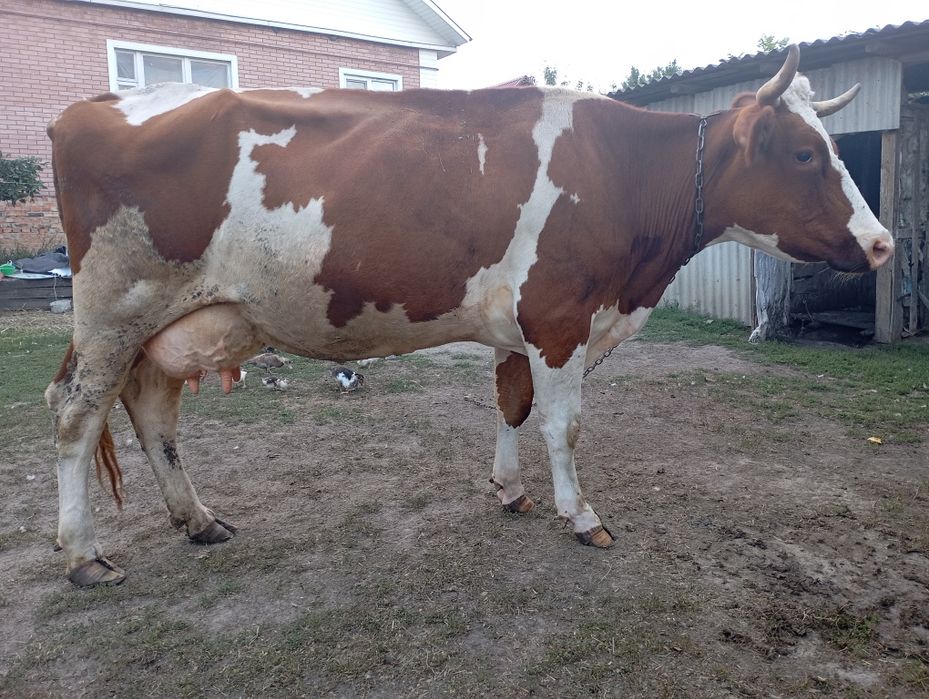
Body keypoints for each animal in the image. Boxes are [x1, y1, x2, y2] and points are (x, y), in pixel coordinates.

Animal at [46, 45, 892, 586]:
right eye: (804, 154)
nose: (881, 242)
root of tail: (96, 106)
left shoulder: (524, 324)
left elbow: (511, 405)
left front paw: (508, 489)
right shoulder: (560, 316)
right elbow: (563, 425)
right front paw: (579, 514)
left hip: (172, 323)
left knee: (154, 412)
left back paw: (198, 519)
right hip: (114, 310)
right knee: (75, 416)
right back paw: (84, 555)